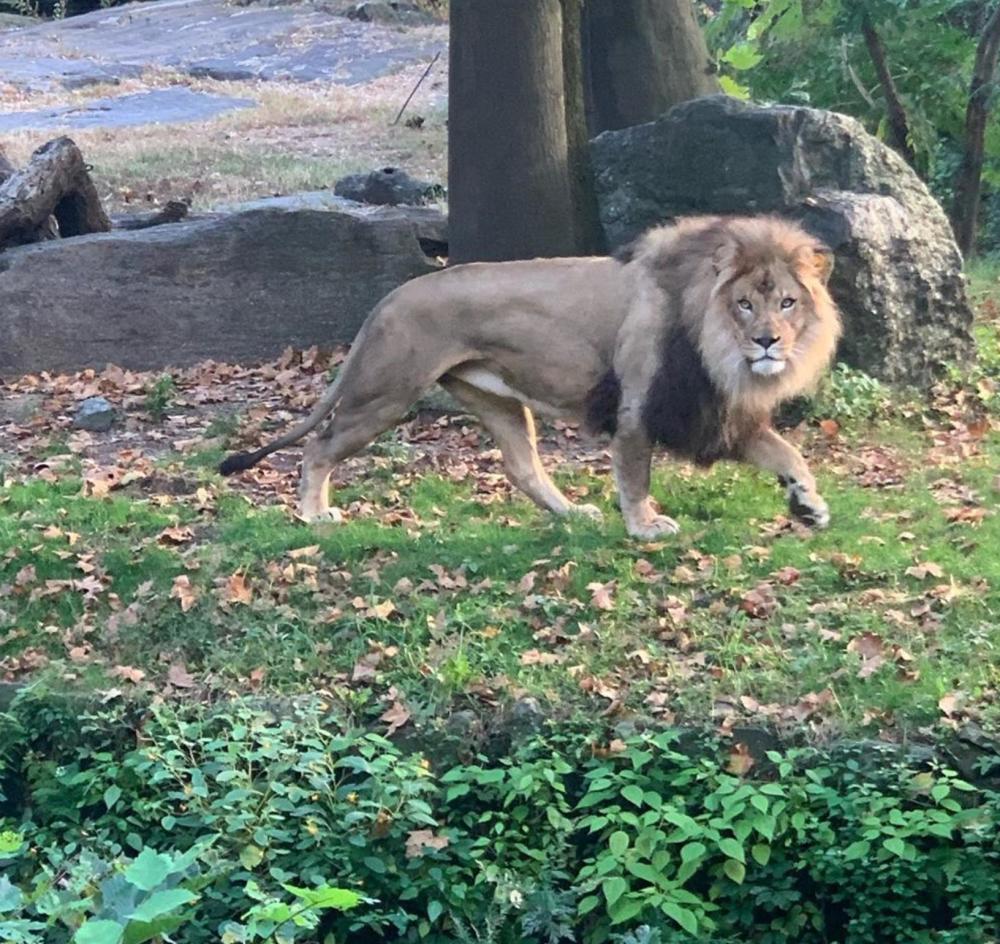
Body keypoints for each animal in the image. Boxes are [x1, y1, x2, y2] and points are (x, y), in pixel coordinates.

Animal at [221, 215, 844, 540]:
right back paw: (314, 514)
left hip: (498, 403)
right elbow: (635, 477)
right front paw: (644, 527)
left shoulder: (717, 412)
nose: (768, 342)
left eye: (788, 303)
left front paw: (808, 505)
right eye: (744, 304)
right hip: (386, 392)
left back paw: (572, 513)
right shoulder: (639, 408)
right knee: (319, 447)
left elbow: (789, 453)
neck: (716, 347)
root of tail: (389, 298)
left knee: (523, 469)